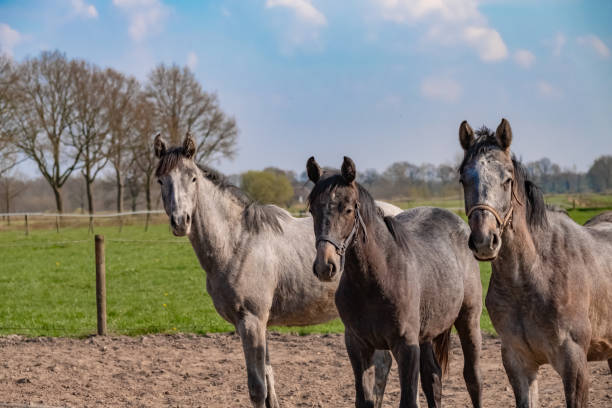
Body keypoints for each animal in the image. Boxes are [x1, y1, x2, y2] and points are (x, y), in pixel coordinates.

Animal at [153, 135, 400, 408]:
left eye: (193, 178)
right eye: (161, 180)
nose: (180, 221)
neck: (238, 242)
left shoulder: (251, 321)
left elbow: (257, 388)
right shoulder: (257, 324)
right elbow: (269, 381)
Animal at [306, 156, 482, 408]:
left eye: (348, 209)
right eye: (312, 210)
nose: (325, 266)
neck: (375, 280)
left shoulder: (406, 346)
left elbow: (408, 400)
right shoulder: (358, 346)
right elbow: (364, 399)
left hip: (469, 320)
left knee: (472, 378)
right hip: (426, 334)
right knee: (433, 379)